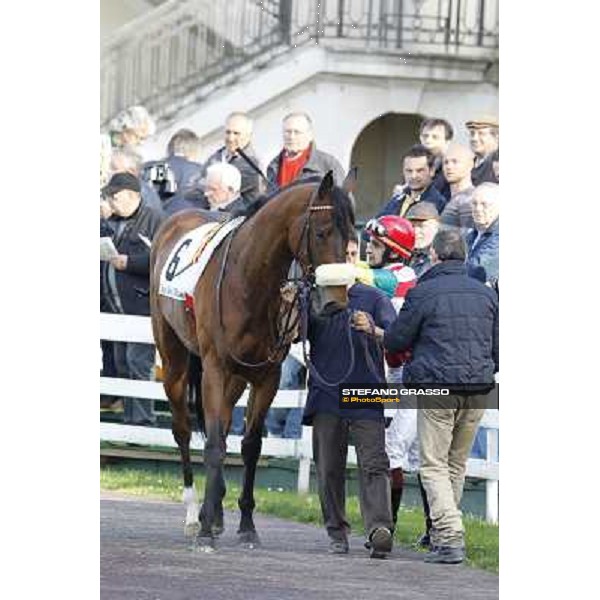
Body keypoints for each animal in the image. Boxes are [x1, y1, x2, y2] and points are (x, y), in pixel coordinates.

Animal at [150, 171, 356, 552]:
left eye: (352, 235)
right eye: (322, 232)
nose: (336, 301)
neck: (246, 279)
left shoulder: (267, 376)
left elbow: (250, 446)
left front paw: (246, 525)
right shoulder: (215, 369)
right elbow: (215, 444)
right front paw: (204, 532)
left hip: (235, 377)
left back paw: (214, 514)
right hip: (174, 361)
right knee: (183, 430)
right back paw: (193, 515)